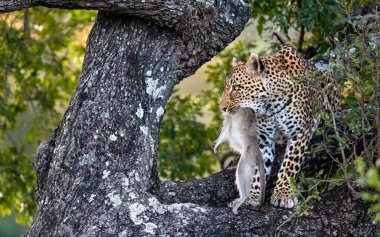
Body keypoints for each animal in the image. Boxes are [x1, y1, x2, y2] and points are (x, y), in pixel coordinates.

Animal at [218, 45, 340, 208]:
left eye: (236, 88)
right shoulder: (263, 141)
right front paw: (253, 195)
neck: (271, 105)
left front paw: (283, 194)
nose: (222, 108)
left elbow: (289, 165)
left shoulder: (299, 133)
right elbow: (257, 169)